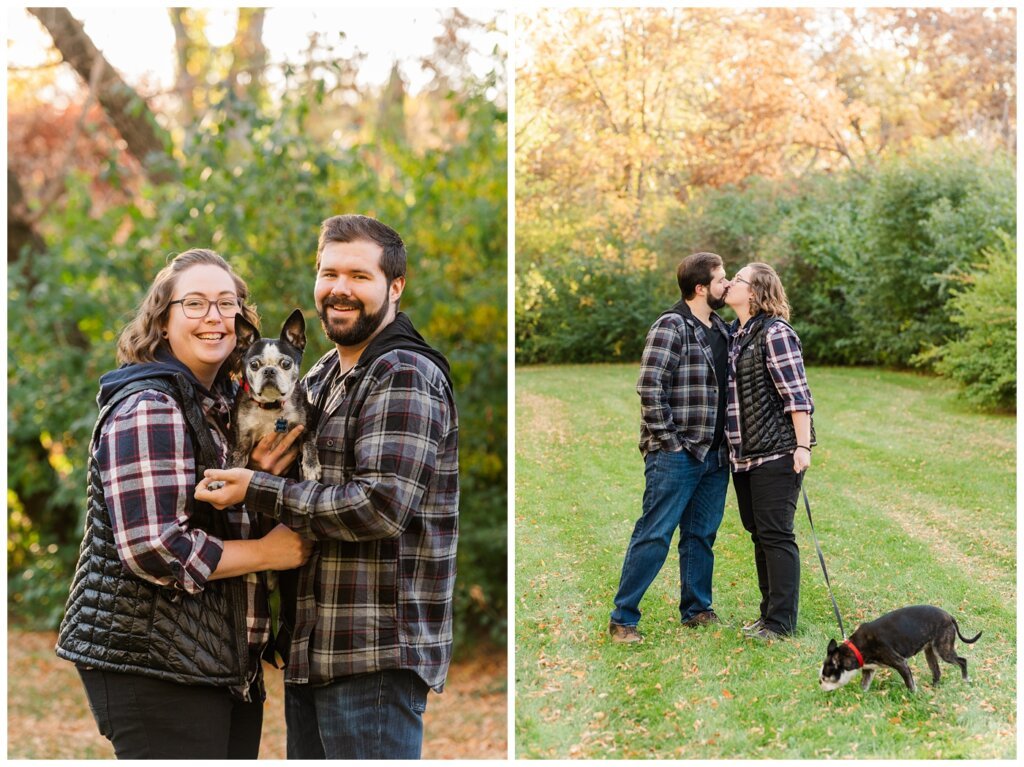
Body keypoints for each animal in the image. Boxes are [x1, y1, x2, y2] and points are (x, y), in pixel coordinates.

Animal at [207, 307, 319, 487]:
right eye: (254, 364)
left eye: (286, 364)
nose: (269, 371)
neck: (270, 405)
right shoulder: (241, 443)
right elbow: (232, 465)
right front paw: (219, 480)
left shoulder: (307, 427)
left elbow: (310, 444)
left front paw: (312, 467)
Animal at [819, 606, 978, 692]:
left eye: (825, 678)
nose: (819, 685)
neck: (855, 650)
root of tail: (949, 616)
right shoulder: (869, 670)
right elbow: (864, 685)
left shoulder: (901, 663)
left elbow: (910, 684)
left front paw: (913, 697)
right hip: (930, 652)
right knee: (936, 671)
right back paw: (934, 687)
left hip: (943, 650)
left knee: (962, 661)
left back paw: (965, 679)